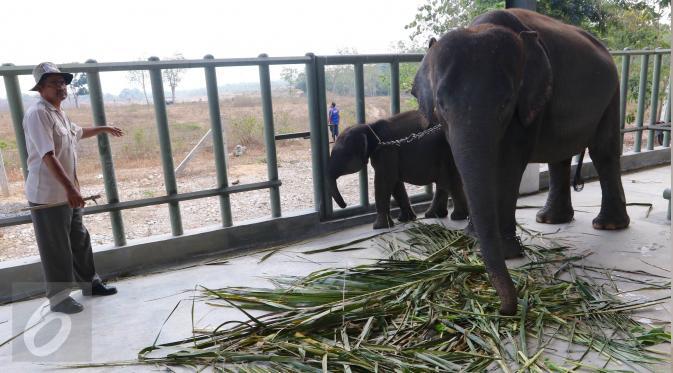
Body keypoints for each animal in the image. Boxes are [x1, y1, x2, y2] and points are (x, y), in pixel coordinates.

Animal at [326, 109, 468, 228]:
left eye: (343, 155)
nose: (344, 205)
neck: (370, 127)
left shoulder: (387, 152)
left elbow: (384, 182)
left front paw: (378, 227)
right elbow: (395, 183)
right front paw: (406, 219)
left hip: (448, 151)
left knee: (449, 181)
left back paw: (457, 217)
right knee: (443, 181)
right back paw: (434, 215)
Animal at [410, 8, 632, 314]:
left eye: (505, 103)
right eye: (441, 104)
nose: (504, 309)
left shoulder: (528, 100)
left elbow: (508, 165)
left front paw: (506, 253)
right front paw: (472, 238)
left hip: (611, 92)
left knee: (603, 150)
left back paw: (607, 226)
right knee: (560, 156)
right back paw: (549, 220)